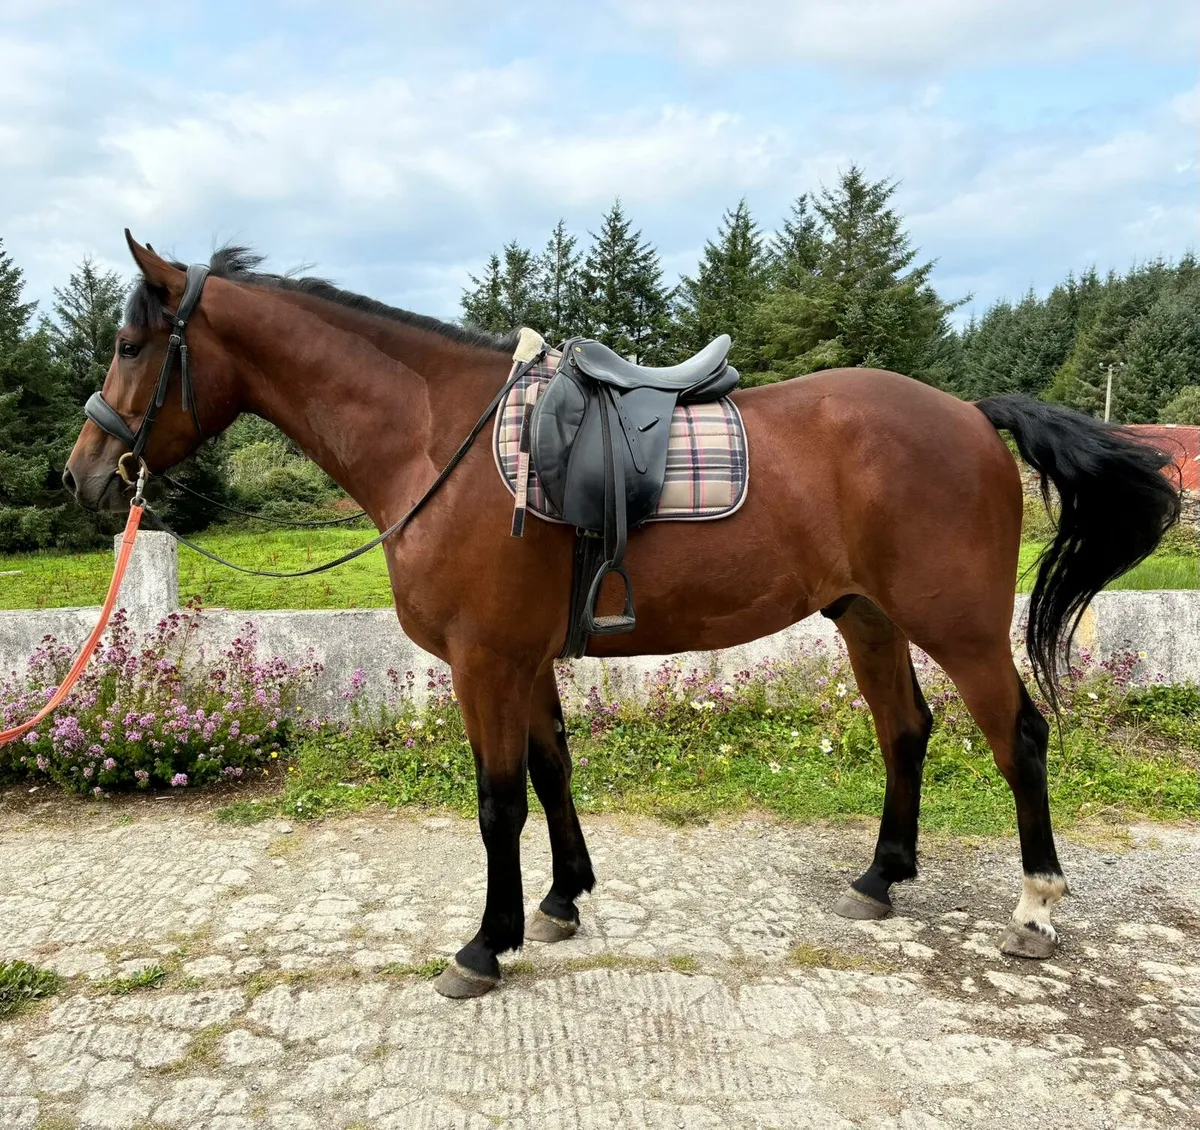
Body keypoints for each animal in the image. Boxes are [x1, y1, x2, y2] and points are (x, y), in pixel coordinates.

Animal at [63, 234, 1181, 998]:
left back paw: (1035, 908)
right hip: (866, 616)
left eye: (129, 342)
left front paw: (485, 944)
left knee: (1018, 737)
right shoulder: (521, 657)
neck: (435, 441)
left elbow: (497, 802)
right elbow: (552, 773)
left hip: (958, 626)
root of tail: (969, 414)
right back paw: (879, 876)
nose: (82, 472)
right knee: (906, 729)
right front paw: (561, 900)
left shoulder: (484, 660)